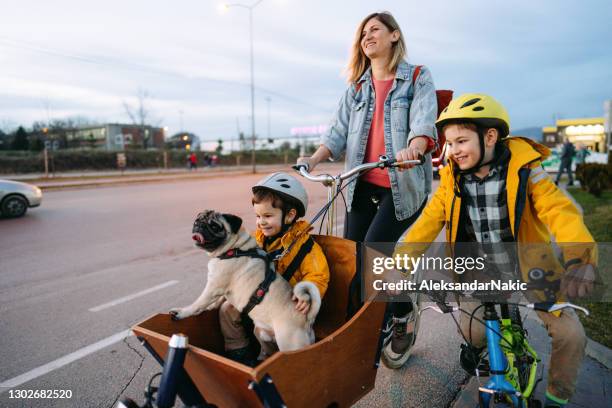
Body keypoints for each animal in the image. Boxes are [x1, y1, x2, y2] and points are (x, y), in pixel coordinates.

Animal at [167, 210, 320, 350]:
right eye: (197, 220)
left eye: (215, 226)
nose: (199, 225)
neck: (235, 248)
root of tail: (307, 320)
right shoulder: (219, 289)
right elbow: (215, 301)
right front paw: (211, 307)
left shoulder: (213, 287)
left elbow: (198, 303)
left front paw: (182, 312)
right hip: (262, 332)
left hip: (289, 344)